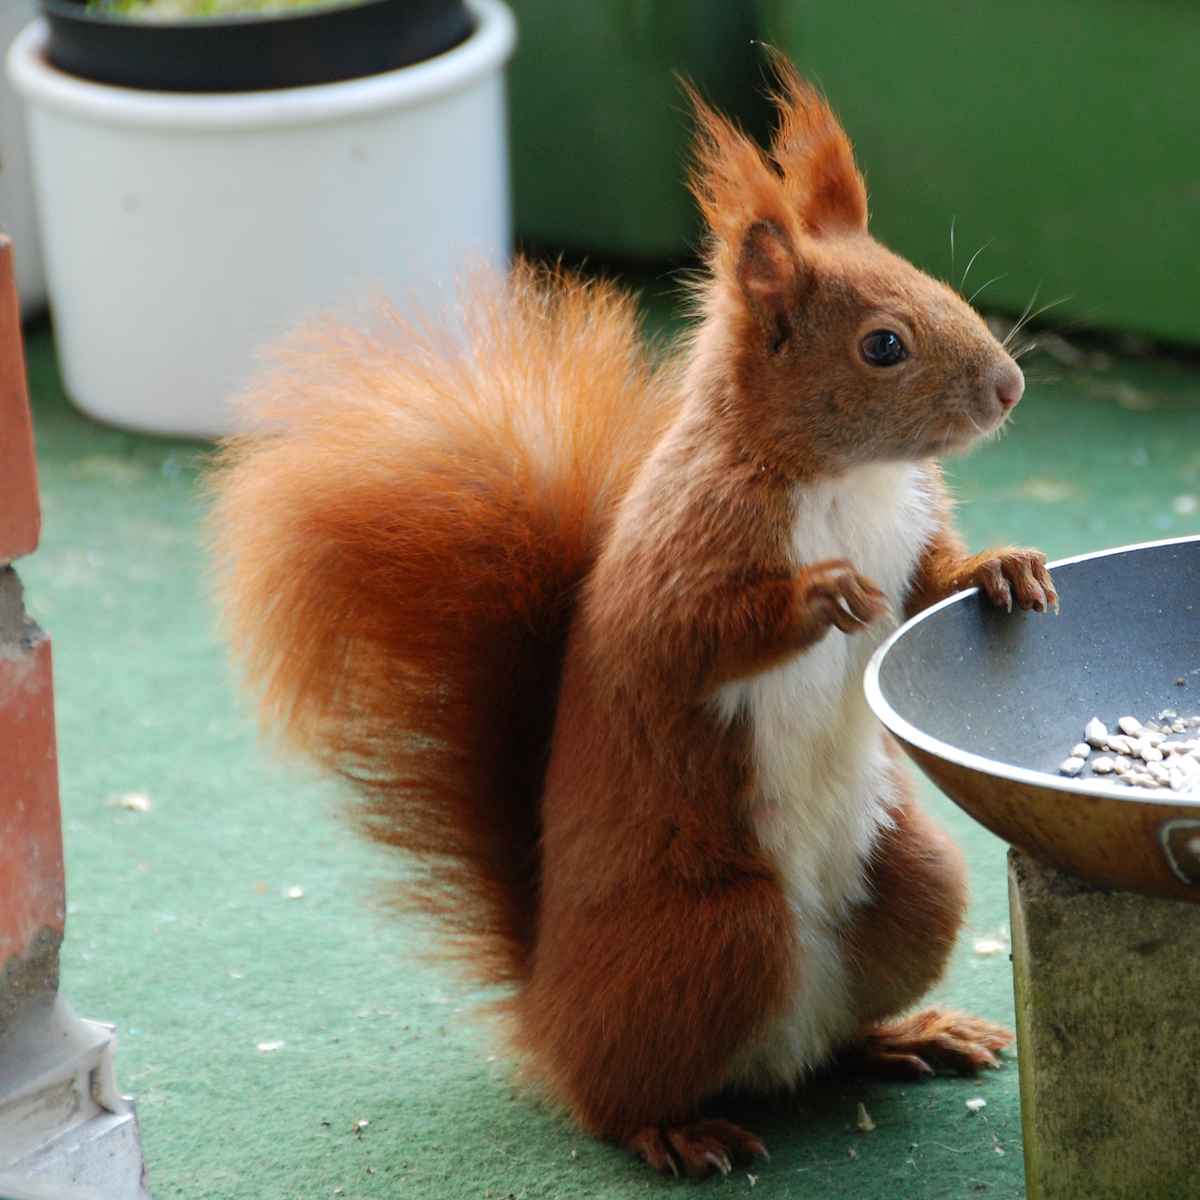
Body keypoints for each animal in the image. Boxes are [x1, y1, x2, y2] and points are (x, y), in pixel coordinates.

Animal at [209, 57, 1056, 1178]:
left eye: (944, 288)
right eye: (883, 345)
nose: (1009, 387)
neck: (848, 481)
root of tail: (548, 1008)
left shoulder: (911, 530)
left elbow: (928, 583)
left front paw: (1003, 567)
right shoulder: (681, 554)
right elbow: (693, 637)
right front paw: (822, 596)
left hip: (914, 883)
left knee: (830, 1044)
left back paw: (907, 1034)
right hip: (718, 930)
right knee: (614, 1098)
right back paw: (675, 1129)